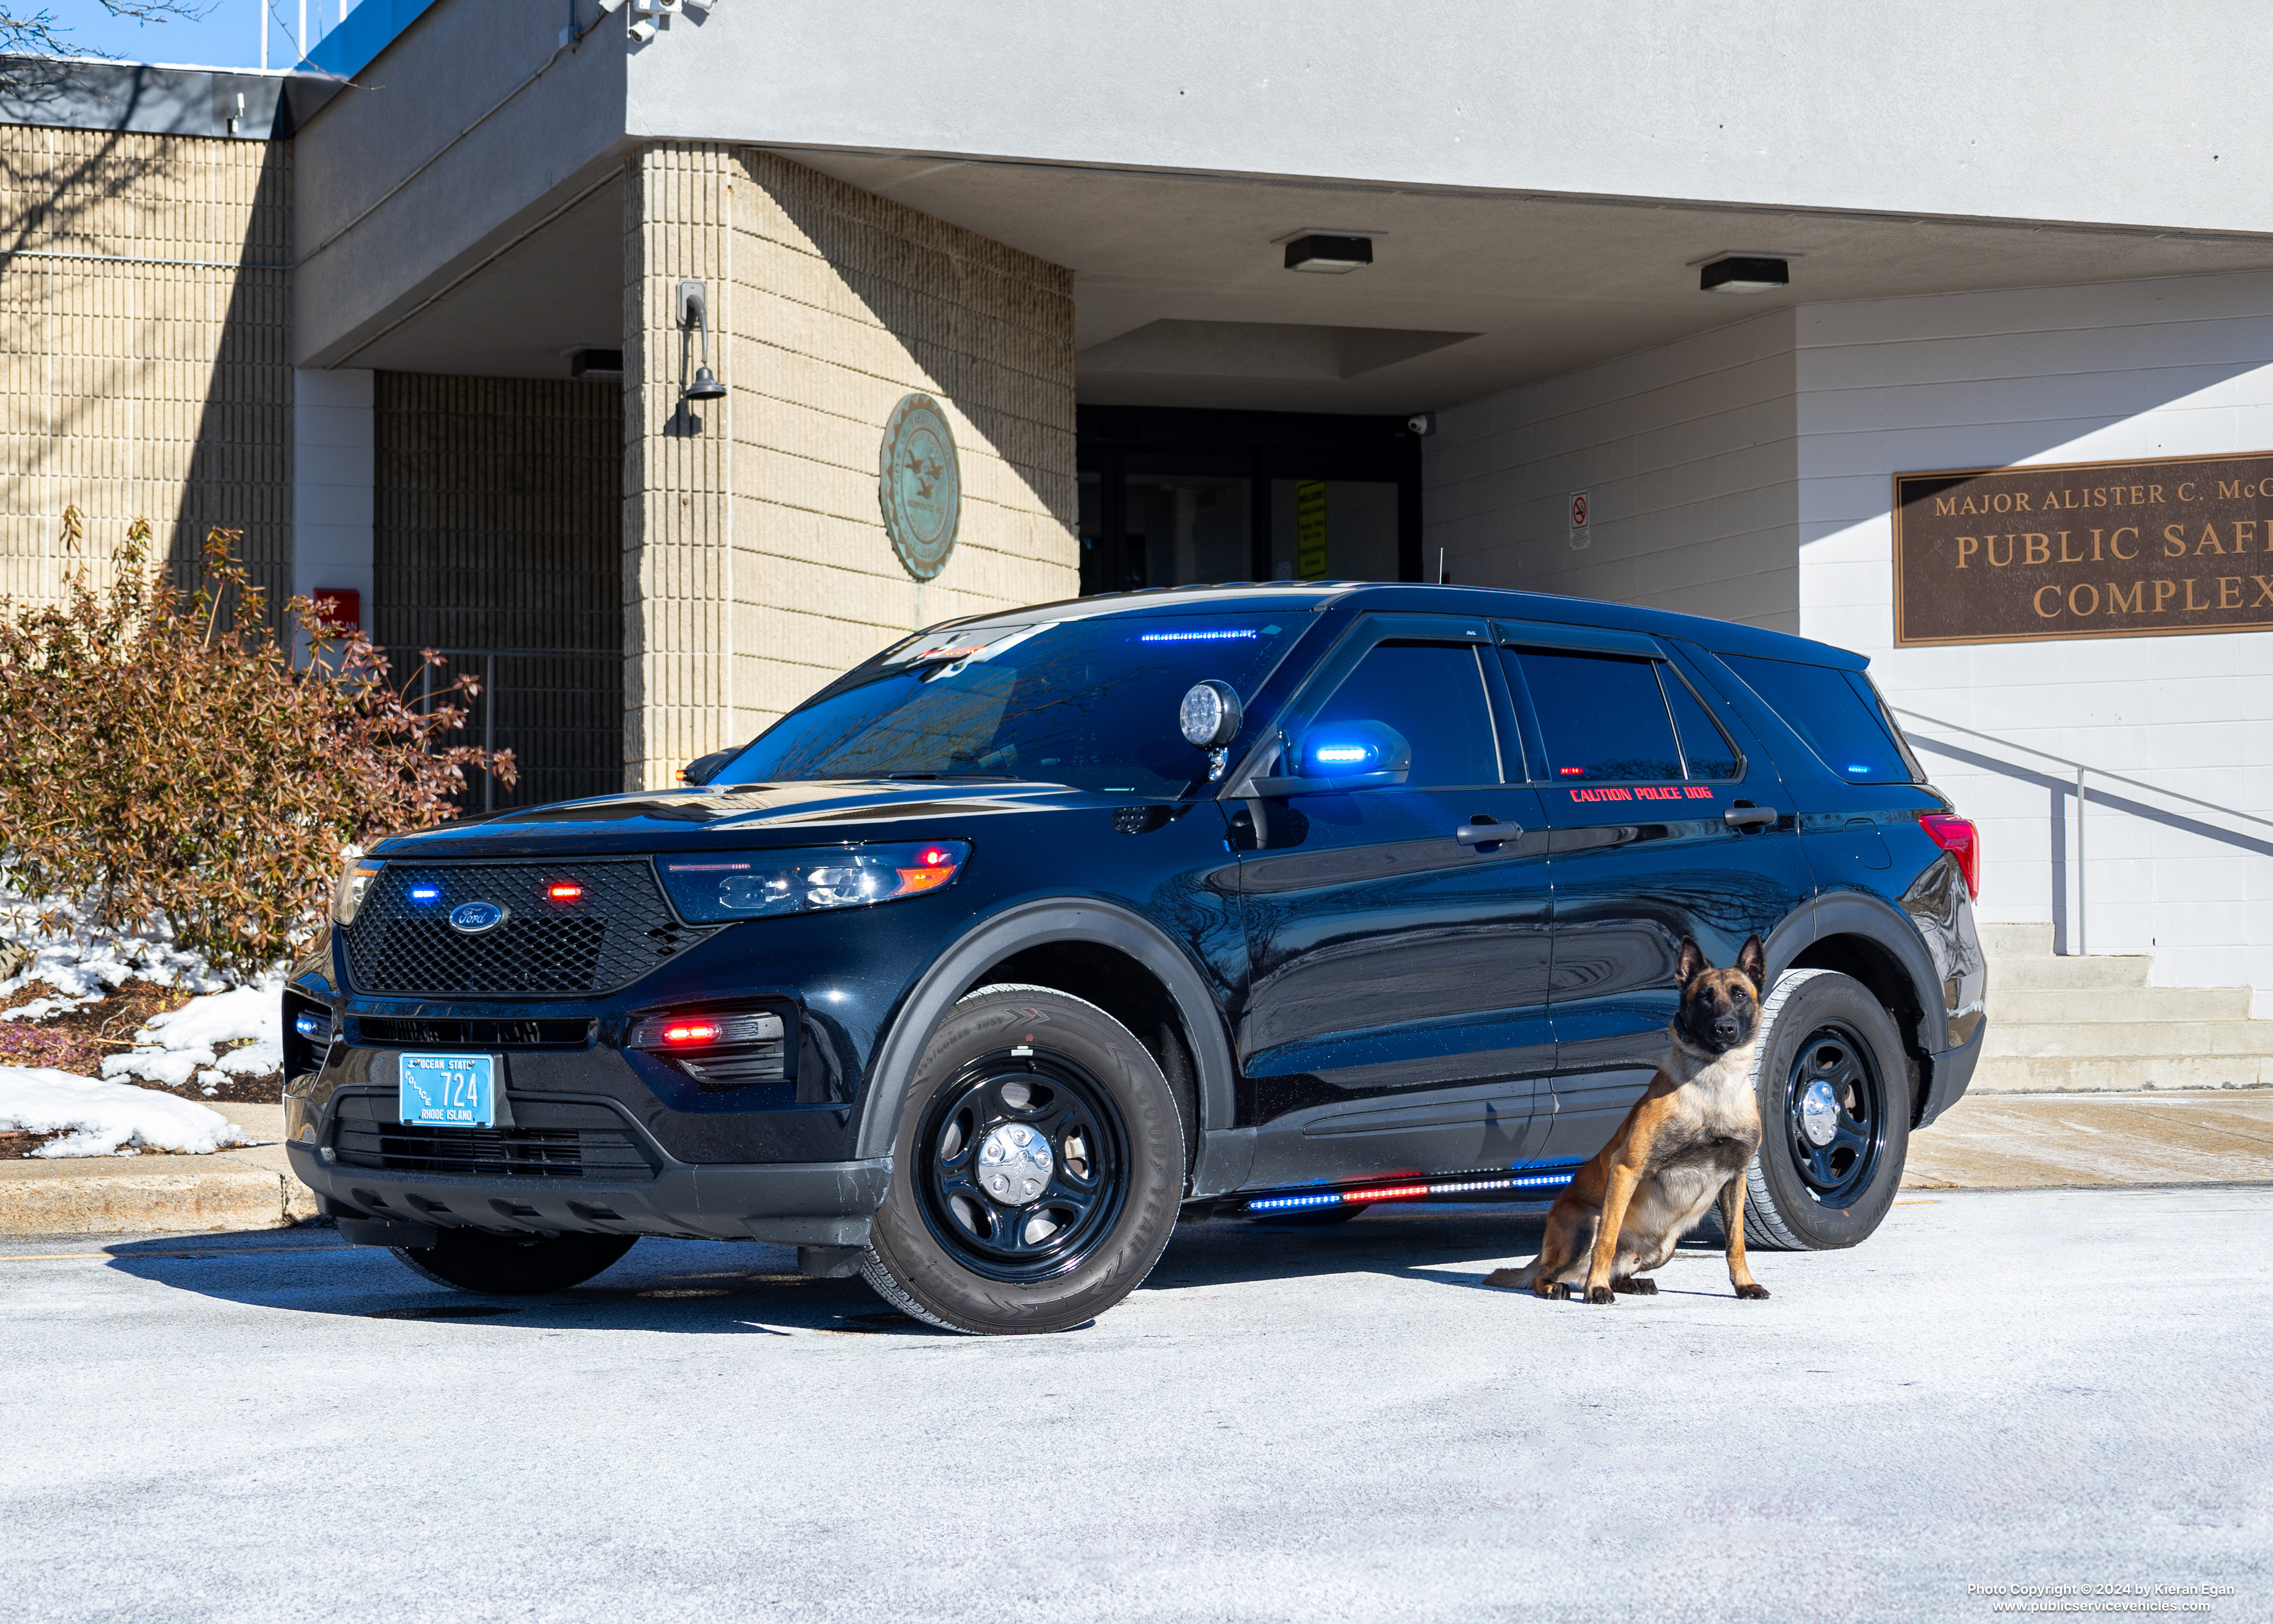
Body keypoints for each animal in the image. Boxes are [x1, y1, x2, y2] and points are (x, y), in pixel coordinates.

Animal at [1482, 928, 1782, 1301]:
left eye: (1740, 995)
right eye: (1705, 998)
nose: (1724, 1028)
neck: (1712, 1088)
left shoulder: (1736, 1178)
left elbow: (1735, 1242)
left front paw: (1744, 1284)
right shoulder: (1626, 1169)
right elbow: (1607, 1241)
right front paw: (1596, 1289)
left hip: (1665, 1246)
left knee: (1619, 1270)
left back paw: (1631, 1282)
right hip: (1586, 1224)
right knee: (1553, 1270)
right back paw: (1562, 1286)